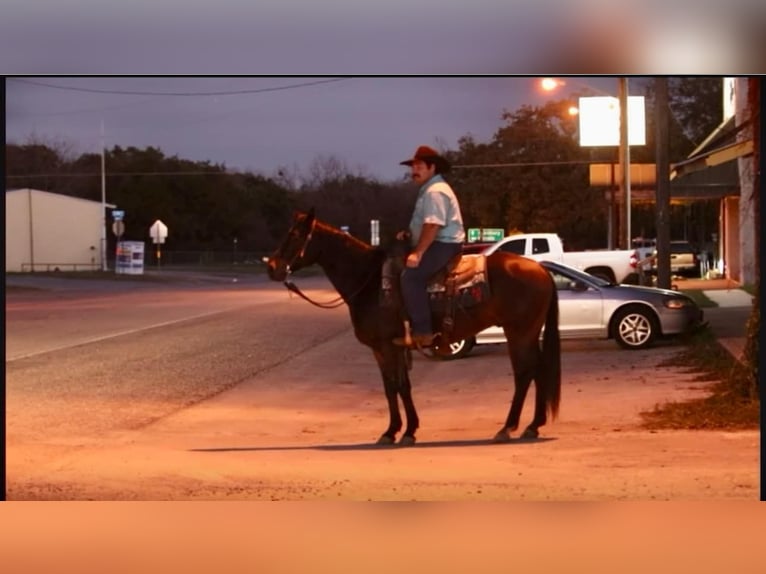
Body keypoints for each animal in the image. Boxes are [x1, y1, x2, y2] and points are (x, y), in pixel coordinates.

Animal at [266, 208, 561, 445]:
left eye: (294, 235)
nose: (272, 267)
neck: (370, 281)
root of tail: (541, 270)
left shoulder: (384, 346)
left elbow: (392, 386)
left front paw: (393, 431)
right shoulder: (393, 347)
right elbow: (400, 386)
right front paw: (407, 429)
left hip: (519, 332)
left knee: (524, 373)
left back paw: (508, 428)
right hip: (529, 332)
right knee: (538, 371)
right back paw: (533, 426)